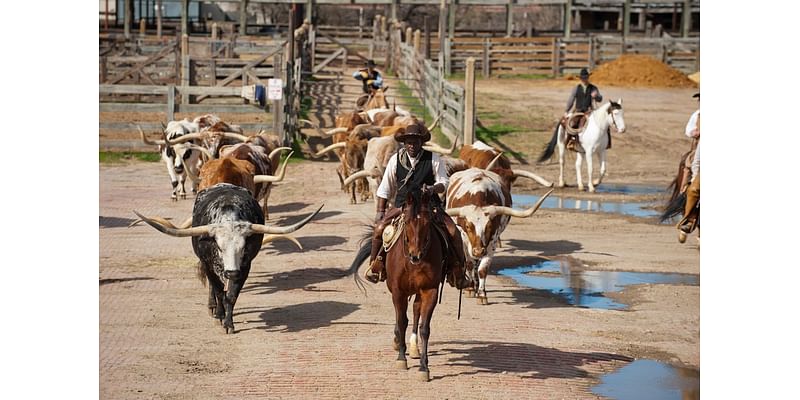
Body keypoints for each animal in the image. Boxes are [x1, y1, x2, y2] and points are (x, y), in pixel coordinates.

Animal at [348, 191, 468, 382]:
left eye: (427, 223)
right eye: (408, 222)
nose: (415, 255)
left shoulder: (430, 291)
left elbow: (424, 327)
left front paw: (424, 367)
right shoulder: (399, 291)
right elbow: (402, 321)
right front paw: (401, 358)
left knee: (416, 310)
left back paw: (413, 347)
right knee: (402, 316)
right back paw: (399, 342)